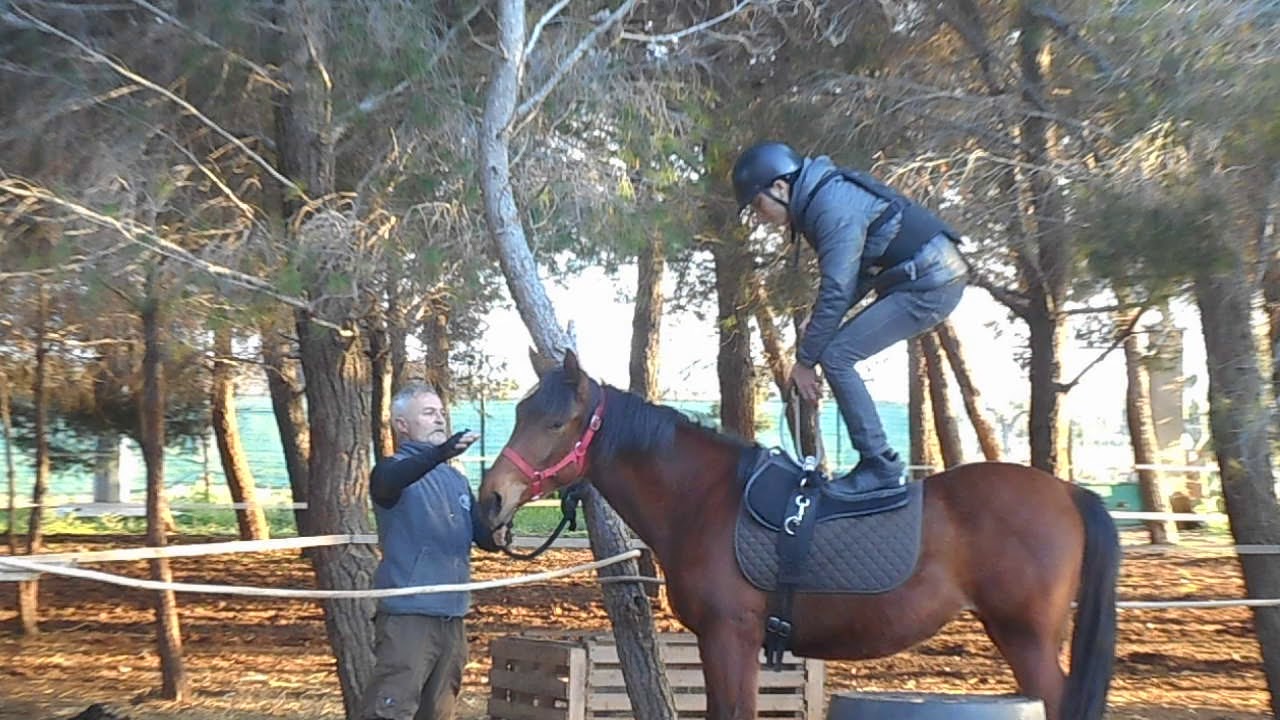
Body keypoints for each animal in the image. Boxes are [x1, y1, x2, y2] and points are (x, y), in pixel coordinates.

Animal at [476, 351, 1119, 720]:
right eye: (519, 412)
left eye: (556, 422)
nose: (492, 500)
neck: (707, 499)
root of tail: (1069, 493)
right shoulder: (721, 644)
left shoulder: (731, 638)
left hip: (1026, 637)